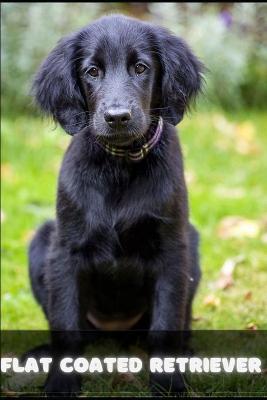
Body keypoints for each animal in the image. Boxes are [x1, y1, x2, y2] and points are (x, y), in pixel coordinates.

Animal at [29, 14, 203, 396]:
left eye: (141, 68)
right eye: (92, 71)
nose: (118, 117)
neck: (119, 165)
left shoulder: (173, 251)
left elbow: (165, 323)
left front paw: (169, 384)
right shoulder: (64, 251)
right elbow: (65, 322)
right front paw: (61, 382)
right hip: (41, 240)